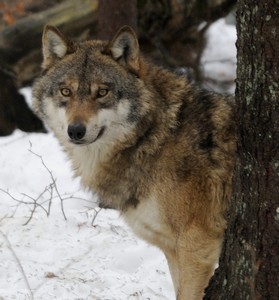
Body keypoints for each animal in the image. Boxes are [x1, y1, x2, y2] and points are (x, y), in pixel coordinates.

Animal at [32, 25, 236, 300]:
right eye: (66, 92)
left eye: (102, 92)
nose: (75, 131)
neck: (156, 136)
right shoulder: (172, 249)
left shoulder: (197, 244)